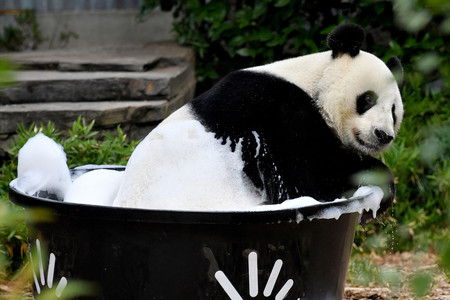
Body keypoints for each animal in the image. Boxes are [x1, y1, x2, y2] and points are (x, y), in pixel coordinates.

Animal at [113, 24, 404, 223]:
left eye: (393, 112)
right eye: (367, 99)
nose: (383, 135)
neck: (312, 80)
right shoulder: (274, 111)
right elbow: (309, 179)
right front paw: (382, 183)